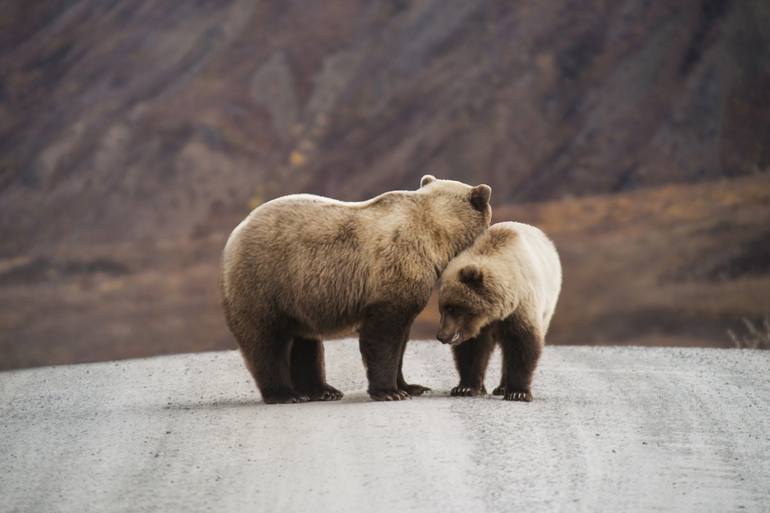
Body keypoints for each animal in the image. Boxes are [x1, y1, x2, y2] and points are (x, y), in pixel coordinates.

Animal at [219, 176, 488, 404]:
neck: (436, 238)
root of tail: (236, 232)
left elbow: (401, 338)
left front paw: (410, 386)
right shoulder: (394, 270)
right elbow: (383, 334)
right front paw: (389, 392)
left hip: (299, 298)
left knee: (305, 343)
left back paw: (322, 390)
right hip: (264, 280)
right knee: (265, 340)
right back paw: (285, 394)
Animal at [436, 222, 560, 402]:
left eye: (453, 308)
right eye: (442, 308)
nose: (442, 336)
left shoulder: (521, 308)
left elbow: (522, 345)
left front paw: (518, 392)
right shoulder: (476, 326)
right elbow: (472, 349)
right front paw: (464, 387)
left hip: (547, 307)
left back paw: (502, 387)